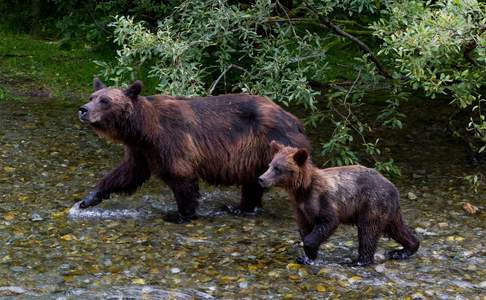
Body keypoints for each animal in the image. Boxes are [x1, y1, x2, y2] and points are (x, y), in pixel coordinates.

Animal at [78, 78, 310, 224]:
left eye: (105, 100)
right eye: (92, 96)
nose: (83, 110)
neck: (145, 130)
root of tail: (295, 119)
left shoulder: (171, 141)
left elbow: (181, 177)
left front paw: (180, 215)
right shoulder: (141, 150)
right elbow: (128, 173)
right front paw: (88, 199)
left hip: (274, 141)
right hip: (257, 157)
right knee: (253, 182)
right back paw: (240, 208)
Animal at [258, 142, 422, 266]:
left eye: (278, 168)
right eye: (270, 165)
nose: (261, 179)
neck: (303, 190)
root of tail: (393, 187)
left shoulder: (323, 200)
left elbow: (328, 222)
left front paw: (309, 250)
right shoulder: (300, 208)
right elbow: (304, 227)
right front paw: (307, 257)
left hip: (372, 203)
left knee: (368, 232)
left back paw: (358, 261)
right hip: (389, 210)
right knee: (397, 228)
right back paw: (403, 250)